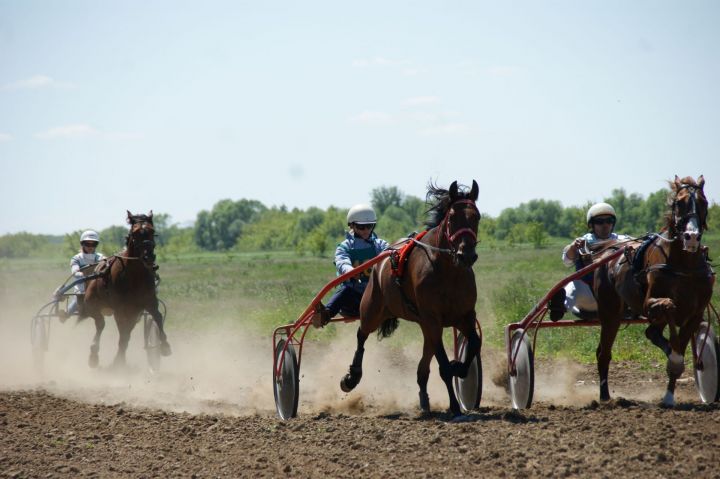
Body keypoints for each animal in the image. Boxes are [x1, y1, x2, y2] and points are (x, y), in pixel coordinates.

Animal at [81, 210, 172, 368]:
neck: (134, 275)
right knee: (100, 324)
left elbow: (158, 317)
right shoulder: (120, 309)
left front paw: (165, 345)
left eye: (152, 231)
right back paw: (94, 354)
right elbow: (123, 334)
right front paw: (119, 361)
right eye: (135, 232)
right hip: (92, 305)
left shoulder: (148, 303)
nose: (149, 257)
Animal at [340, 180, 480, 416]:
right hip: (372, 309)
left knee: (423, 365)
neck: (448, 272)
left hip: (422, 323)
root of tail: (381, 260)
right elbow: (443, 366)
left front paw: (459, 367)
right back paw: (352, 377)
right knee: (361, 335)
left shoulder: (464, 315)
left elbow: (475, 344)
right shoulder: (433, 319)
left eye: (477, 216)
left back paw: (424, 400)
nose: (466, 255)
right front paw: (454, 406)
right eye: (452, 216)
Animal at [592, 174, 712, 406]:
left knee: (651, 333)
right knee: (604, 354)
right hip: (610, 314)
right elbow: (668, 306)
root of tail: (606, 254)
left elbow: (678, 344)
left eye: (704, 202)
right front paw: (674, 357)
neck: (684, 266)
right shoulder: (650, 304)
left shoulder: (695, 314)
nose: (692, 236)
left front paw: (669, 395)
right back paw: (604, 397)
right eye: (679, 203)